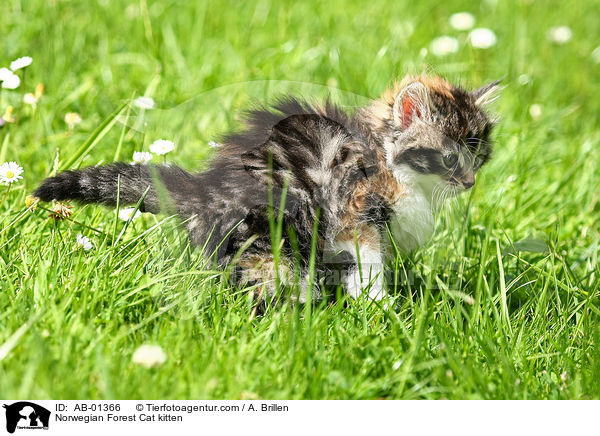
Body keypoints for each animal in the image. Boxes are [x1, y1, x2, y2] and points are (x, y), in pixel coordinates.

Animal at [34, 75, 502, 304]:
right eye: (449, 159)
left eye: (479, 156)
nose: (469, 182)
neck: (386, 158)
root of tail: (203, 189)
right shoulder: (355, 213)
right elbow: (367, 263)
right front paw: (379, 306)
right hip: (270, 234)